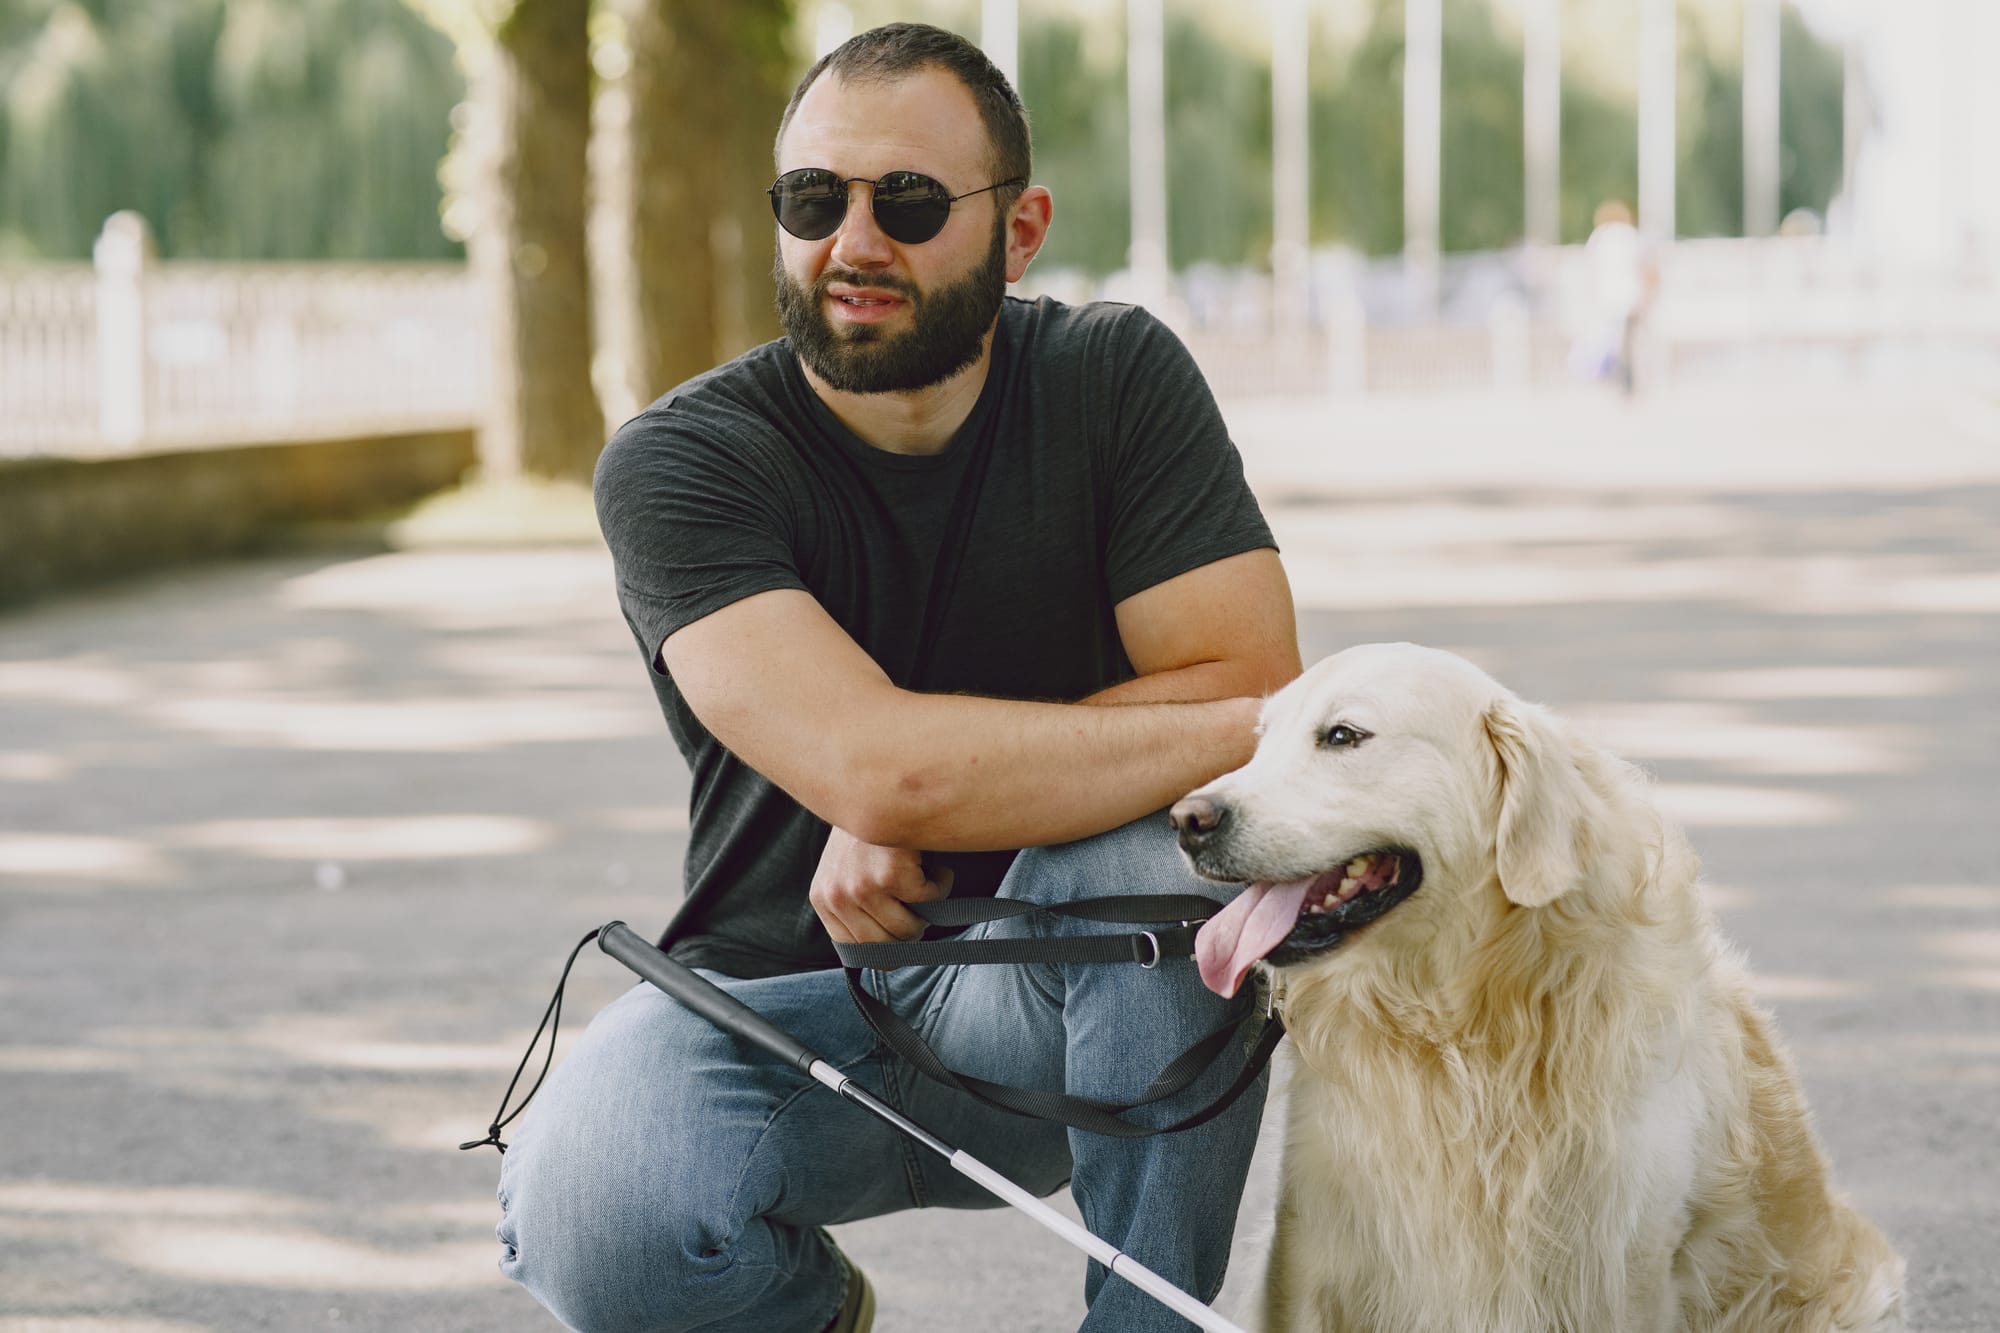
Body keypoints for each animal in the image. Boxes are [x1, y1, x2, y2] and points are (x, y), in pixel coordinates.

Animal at [1168, 644, 1904, 1328]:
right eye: (1261, 739)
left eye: (1344, 735)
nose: (1188, 819)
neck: (1454, 1024)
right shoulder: (1312, 1246)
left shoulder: (1620, 1265)